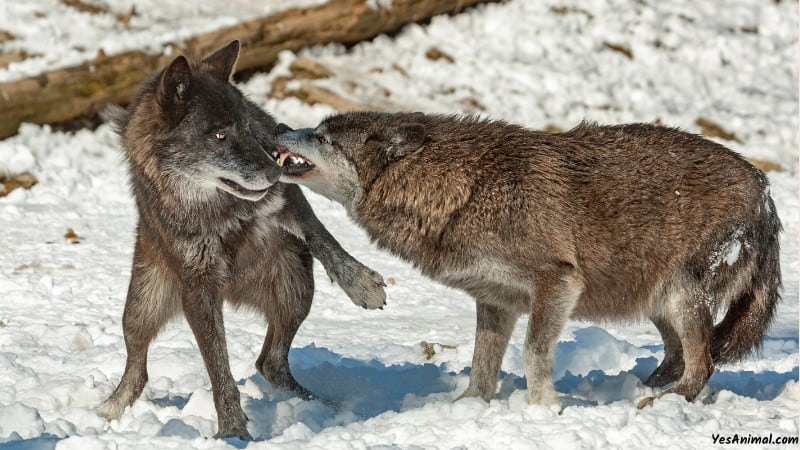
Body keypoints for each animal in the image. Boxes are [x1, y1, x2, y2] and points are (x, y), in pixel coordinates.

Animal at [94, 43, 388, 440]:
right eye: (220, 135)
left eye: (248, 128)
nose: (275, 170)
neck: (217, 208)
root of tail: (235, 290)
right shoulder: (198, 289)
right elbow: (220, 373)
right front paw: (233, 431)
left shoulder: (287, 200)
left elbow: (324, 239)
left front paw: (361, 285)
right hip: (141, 307)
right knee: (137, 369)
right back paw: (107, 411)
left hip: (296, 286)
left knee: (270, 362)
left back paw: (322, 406)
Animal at [274, 111, 780, 408]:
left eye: (322, 137)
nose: (278, 129)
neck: (460, 188)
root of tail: (764, 188)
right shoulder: (496, 301)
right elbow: (482, 367)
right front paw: (468, 409)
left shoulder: (557, 284)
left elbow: (534, 352)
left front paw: (545, 408)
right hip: (652, 299)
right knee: (679, 356)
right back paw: (644, 389)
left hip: (679, 297)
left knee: (704, 362)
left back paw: (663, 402)